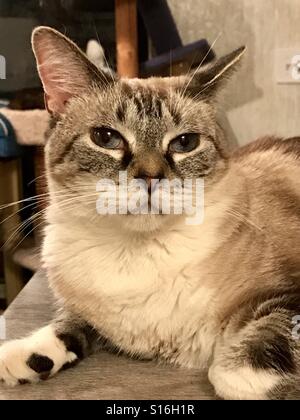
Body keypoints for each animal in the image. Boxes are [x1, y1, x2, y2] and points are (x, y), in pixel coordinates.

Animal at [0, 26, 298, 400]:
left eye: (185, 143)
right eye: (106, 137)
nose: (151, 177)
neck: (134, 256)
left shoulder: (283, 295)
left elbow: (230, 369)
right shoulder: (93, 314)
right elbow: (67, 327)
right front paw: (20, 359)